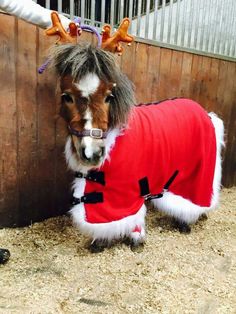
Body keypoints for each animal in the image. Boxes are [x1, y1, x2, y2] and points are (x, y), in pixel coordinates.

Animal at [49, 43, 223, 251]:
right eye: (67, 97)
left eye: (109, 97)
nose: (93, 153)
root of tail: (207, 114)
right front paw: (101, 241)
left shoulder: (127, 191)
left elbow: (130, 215)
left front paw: (136, 239)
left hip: (197, 174)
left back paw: (186, 221)